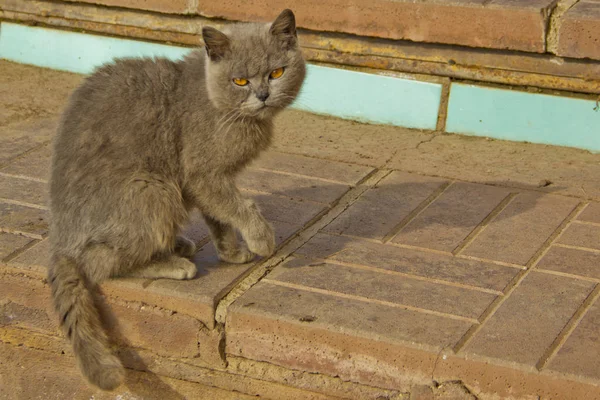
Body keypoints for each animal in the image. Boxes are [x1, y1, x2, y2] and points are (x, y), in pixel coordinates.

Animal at [48, 10, 304, 390]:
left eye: (276, 73)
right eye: (240, 80)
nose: (261, 94)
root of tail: (61, 240)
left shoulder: (206, 180)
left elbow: (219, 215)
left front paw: (231, 252)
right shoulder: (202, 172)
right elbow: (237, 206)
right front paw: (260, 239)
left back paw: (177, 245)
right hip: (153, 188)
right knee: (98, 264)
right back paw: (174, 263)